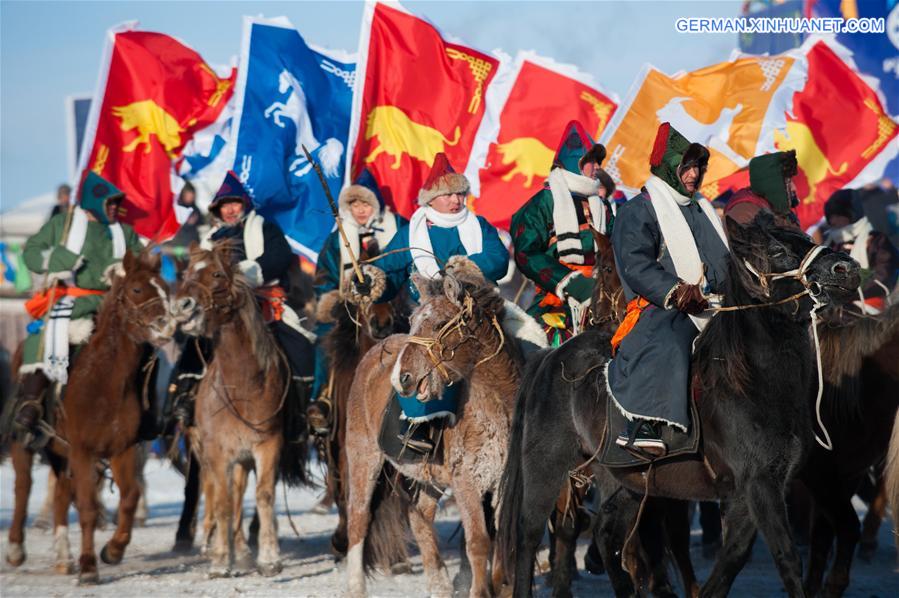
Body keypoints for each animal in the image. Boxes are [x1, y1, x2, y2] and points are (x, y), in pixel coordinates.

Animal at [59, 250, 176, 584]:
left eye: (165, 288)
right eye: (136, 289)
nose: (167, 325)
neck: (103, 385)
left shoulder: (123, 449)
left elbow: (130, 496)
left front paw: (113, 549)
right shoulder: (81, 451)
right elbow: (86, 507)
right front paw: (87, 567)